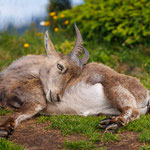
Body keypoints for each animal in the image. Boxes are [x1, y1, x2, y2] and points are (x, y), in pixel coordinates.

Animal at [0, 23, 150, 137]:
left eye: (72, 75)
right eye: (60, 66)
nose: (57, 97)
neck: (11, 80)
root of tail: (146, 93)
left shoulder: (36, 101)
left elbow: (17, 113)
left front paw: (4, 130)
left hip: (113, 87)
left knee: (133, 110)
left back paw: (113, 124)